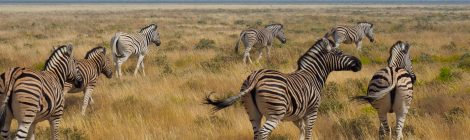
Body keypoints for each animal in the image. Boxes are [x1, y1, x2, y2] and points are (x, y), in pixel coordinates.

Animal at [204, 37, 362, 139]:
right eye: (339, 53)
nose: (359, 63)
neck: (312, 75)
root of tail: (256, 77)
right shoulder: (312, 111)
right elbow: (308, 133)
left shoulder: (297, 116)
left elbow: (302, 132)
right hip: (275, 113)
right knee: (263, 133)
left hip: (253, 112)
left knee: (256, 133)